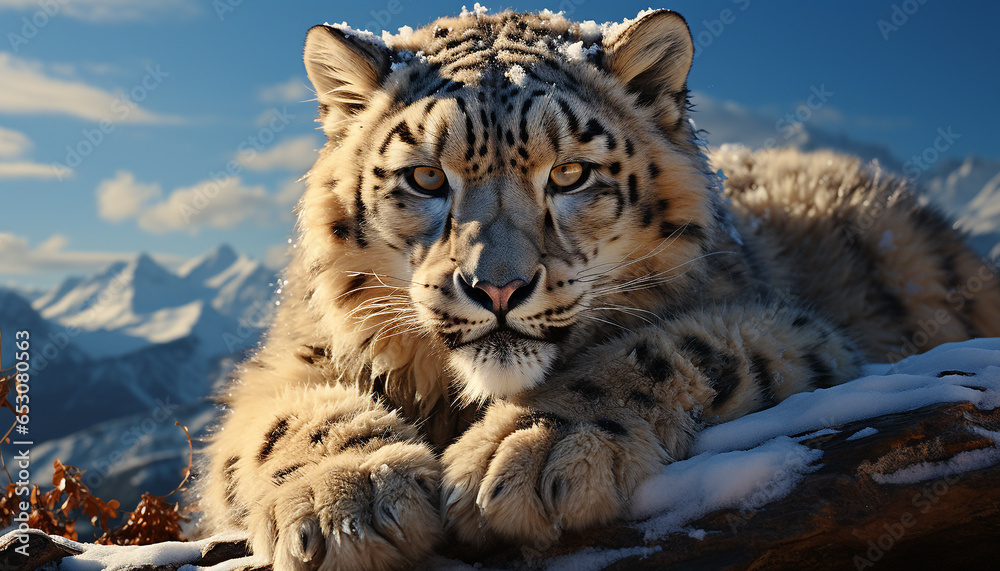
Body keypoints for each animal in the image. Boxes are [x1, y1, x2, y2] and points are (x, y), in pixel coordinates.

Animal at [195, 8, 1000, 570]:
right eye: (425, 176)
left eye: (571, 173)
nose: (497, 287)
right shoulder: (287, 362)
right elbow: (283, 418)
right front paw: (346, 500)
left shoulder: (795, 328)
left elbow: (672, 349)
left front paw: (530, 449)